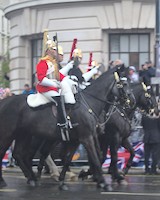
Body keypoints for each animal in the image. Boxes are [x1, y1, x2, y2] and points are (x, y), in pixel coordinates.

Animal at [0, 66, 135, 191]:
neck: (89, 104)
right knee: (12, 153)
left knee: (20, 154)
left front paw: (63, 181)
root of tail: (4, 101)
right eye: (124, 83)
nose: (131, 101)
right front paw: (104, 183)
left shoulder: (77, 140)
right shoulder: (87, 138)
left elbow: (69, 159)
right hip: (9, 134)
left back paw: (33, 178)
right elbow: (96, 159)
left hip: (23, 135)